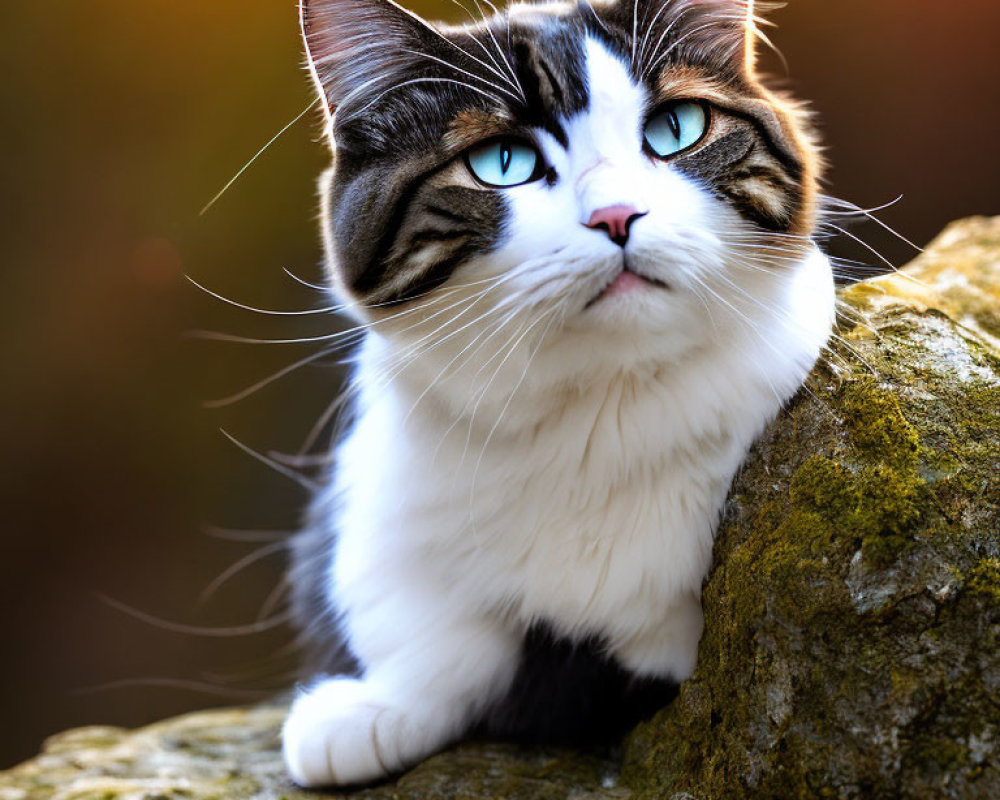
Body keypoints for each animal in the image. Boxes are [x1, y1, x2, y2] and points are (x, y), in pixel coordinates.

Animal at [278, 0, 832, 788]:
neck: (596, 408)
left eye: (676, 129)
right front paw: (377, 709)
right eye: (501, 163)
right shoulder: (375, 488)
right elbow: (422, 617)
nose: (617, 215)